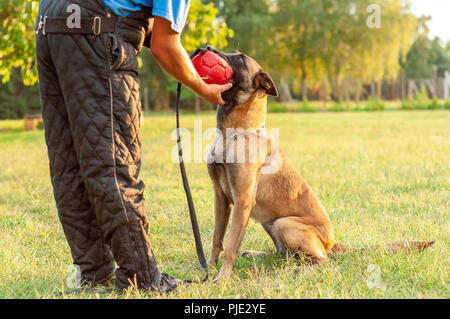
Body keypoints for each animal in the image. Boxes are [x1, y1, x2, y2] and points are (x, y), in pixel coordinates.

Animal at [203, 47, 432, 282]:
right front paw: (207, 268)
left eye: (240, 58)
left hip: (284, 223)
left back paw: (295, 270)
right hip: (271, 222)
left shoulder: (243, 200)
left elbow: (231, 245)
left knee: (322, 262)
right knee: (284, 254)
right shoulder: (221, 198)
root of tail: (331, 242)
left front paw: (222, 278)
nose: (207, 49)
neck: (233, 134)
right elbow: (217, 239)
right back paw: (257, 254)